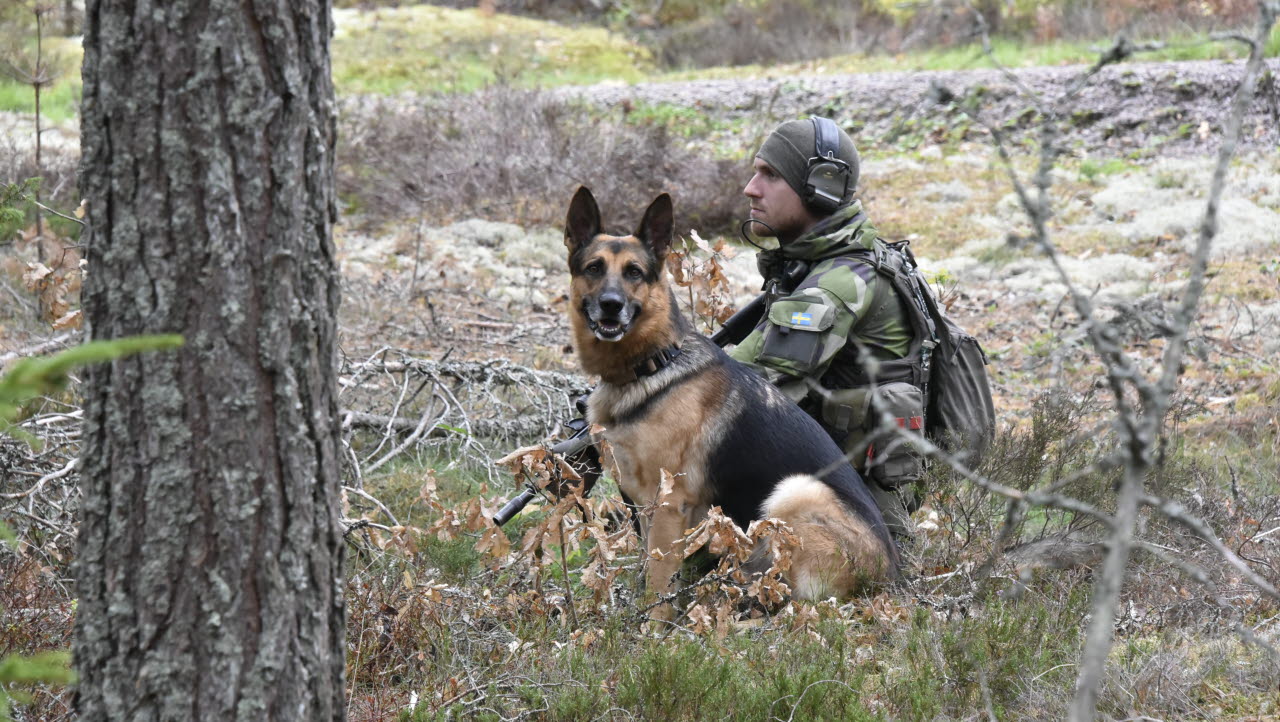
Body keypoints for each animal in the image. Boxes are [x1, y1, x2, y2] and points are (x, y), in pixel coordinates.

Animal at [565, 185, 896, 614]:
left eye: (634, 272)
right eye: (593, 268)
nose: (610, 304)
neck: (653, 365)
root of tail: (891, 579)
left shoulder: (668, 509)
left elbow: (657, 587)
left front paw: (650, 626)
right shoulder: (643, 506)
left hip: (795, 491)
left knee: (794, 608)